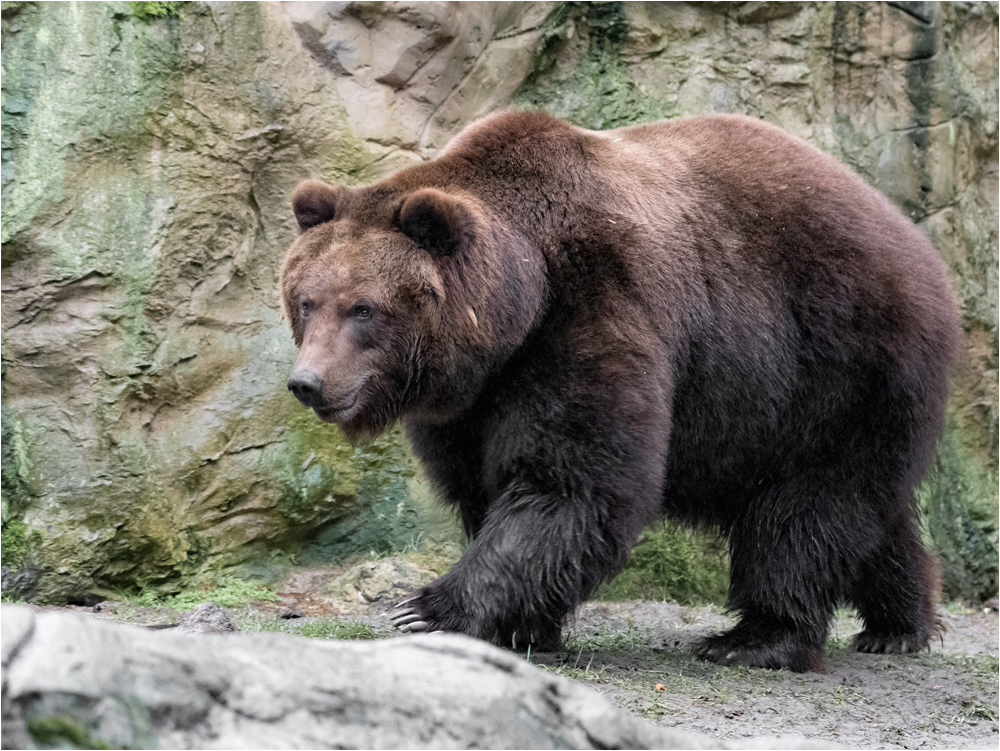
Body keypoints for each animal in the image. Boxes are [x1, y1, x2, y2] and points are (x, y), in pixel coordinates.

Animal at [280, 111, 960, 676]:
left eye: (364, 309)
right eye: (306, 301)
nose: (307, 382)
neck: (515, 308)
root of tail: (918, 245)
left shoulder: (593, 312)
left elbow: (573, 482)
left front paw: (425, 609)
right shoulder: (470, 400)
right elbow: (486, 486)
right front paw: (523, 628)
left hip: (835, 361)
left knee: (806, 506)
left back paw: (754, 639)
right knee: (868, 512)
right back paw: (899, 625)